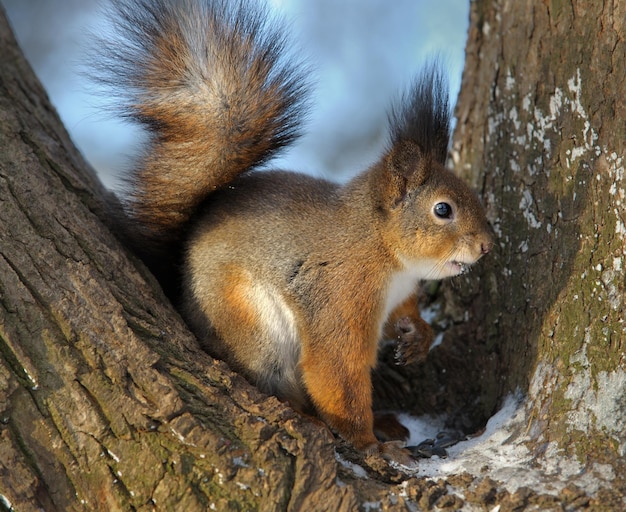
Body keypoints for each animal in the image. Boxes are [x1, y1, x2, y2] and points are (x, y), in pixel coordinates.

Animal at [94, 0, 492, 464]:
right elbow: (335, 371)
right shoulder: (340, 295)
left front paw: (417, 338)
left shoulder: (395, 297)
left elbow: (404, 317)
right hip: (248, 320)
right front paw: (368, 444)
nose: (487, 245)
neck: (385, 253)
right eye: (442, 209)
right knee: (276, 384)